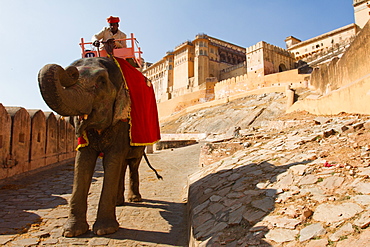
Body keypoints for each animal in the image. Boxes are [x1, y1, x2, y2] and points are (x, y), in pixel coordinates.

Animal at [37, 57, 147, 236]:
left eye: (101, 81)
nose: (70, 71)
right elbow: (82, 162)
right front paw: (71, 232)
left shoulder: (122, 122)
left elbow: (112, 160)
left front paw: (105, 230)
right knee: (122, 166)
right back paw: (119, 202)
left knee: (132, 164)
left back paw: (134, 199)